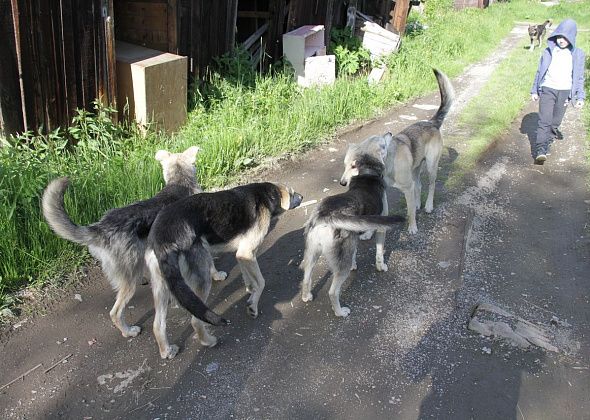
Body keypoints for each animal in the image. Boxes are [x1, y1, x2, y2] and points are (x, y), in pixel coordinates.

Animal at [41, 146, 227, 336]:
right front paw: (217, 274)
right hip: (129, 281)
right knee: (115, 312)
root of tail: (101, 227)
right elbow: (211, 263)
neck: (179, 181)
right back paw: (128, 331)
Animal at [145, 180, 306, 358]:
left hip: (162, 286)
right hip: (201, 279)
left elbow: (249, 278)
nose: (302, 197)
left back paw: (166, 350)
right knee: (195, 320)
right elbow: (261, 282)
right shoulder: (247, 253)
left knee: (157, 324)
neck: (266, 196)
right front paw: (253, 306)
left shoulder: (243, 255)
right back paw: (208, 341)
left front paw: (250, 290)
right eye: (292, 193)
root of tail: (162, 238)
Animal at [300, 153, 408, 316]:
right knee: (333, 292)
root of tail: (324, 216)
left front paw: (354, 264)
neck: (367, 173)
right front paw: (381, 266)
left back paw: (307, 296)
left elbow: (355, 252)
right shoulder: (381, 227)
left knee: (306, 278)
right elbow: (379, 252)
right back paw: (340, 312)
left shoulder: (354, 235)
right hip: (338, 267)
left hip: (312, 254)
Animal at [340, 67, 456, 235]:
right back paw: (418, 203)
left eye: (354, 166)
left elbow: (410, 212)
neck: (387, 165)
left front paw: (412, 227)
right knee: (419, 186)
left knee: (431, 185)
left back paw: (428, 205)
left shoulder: (407, 188)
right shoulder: (383, 193)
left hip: (431, 166)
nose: (342, 183)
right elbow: (378, 215)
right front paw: (369, 233)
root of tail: (431, 123)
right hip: (415, 168)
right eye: (345, 165)